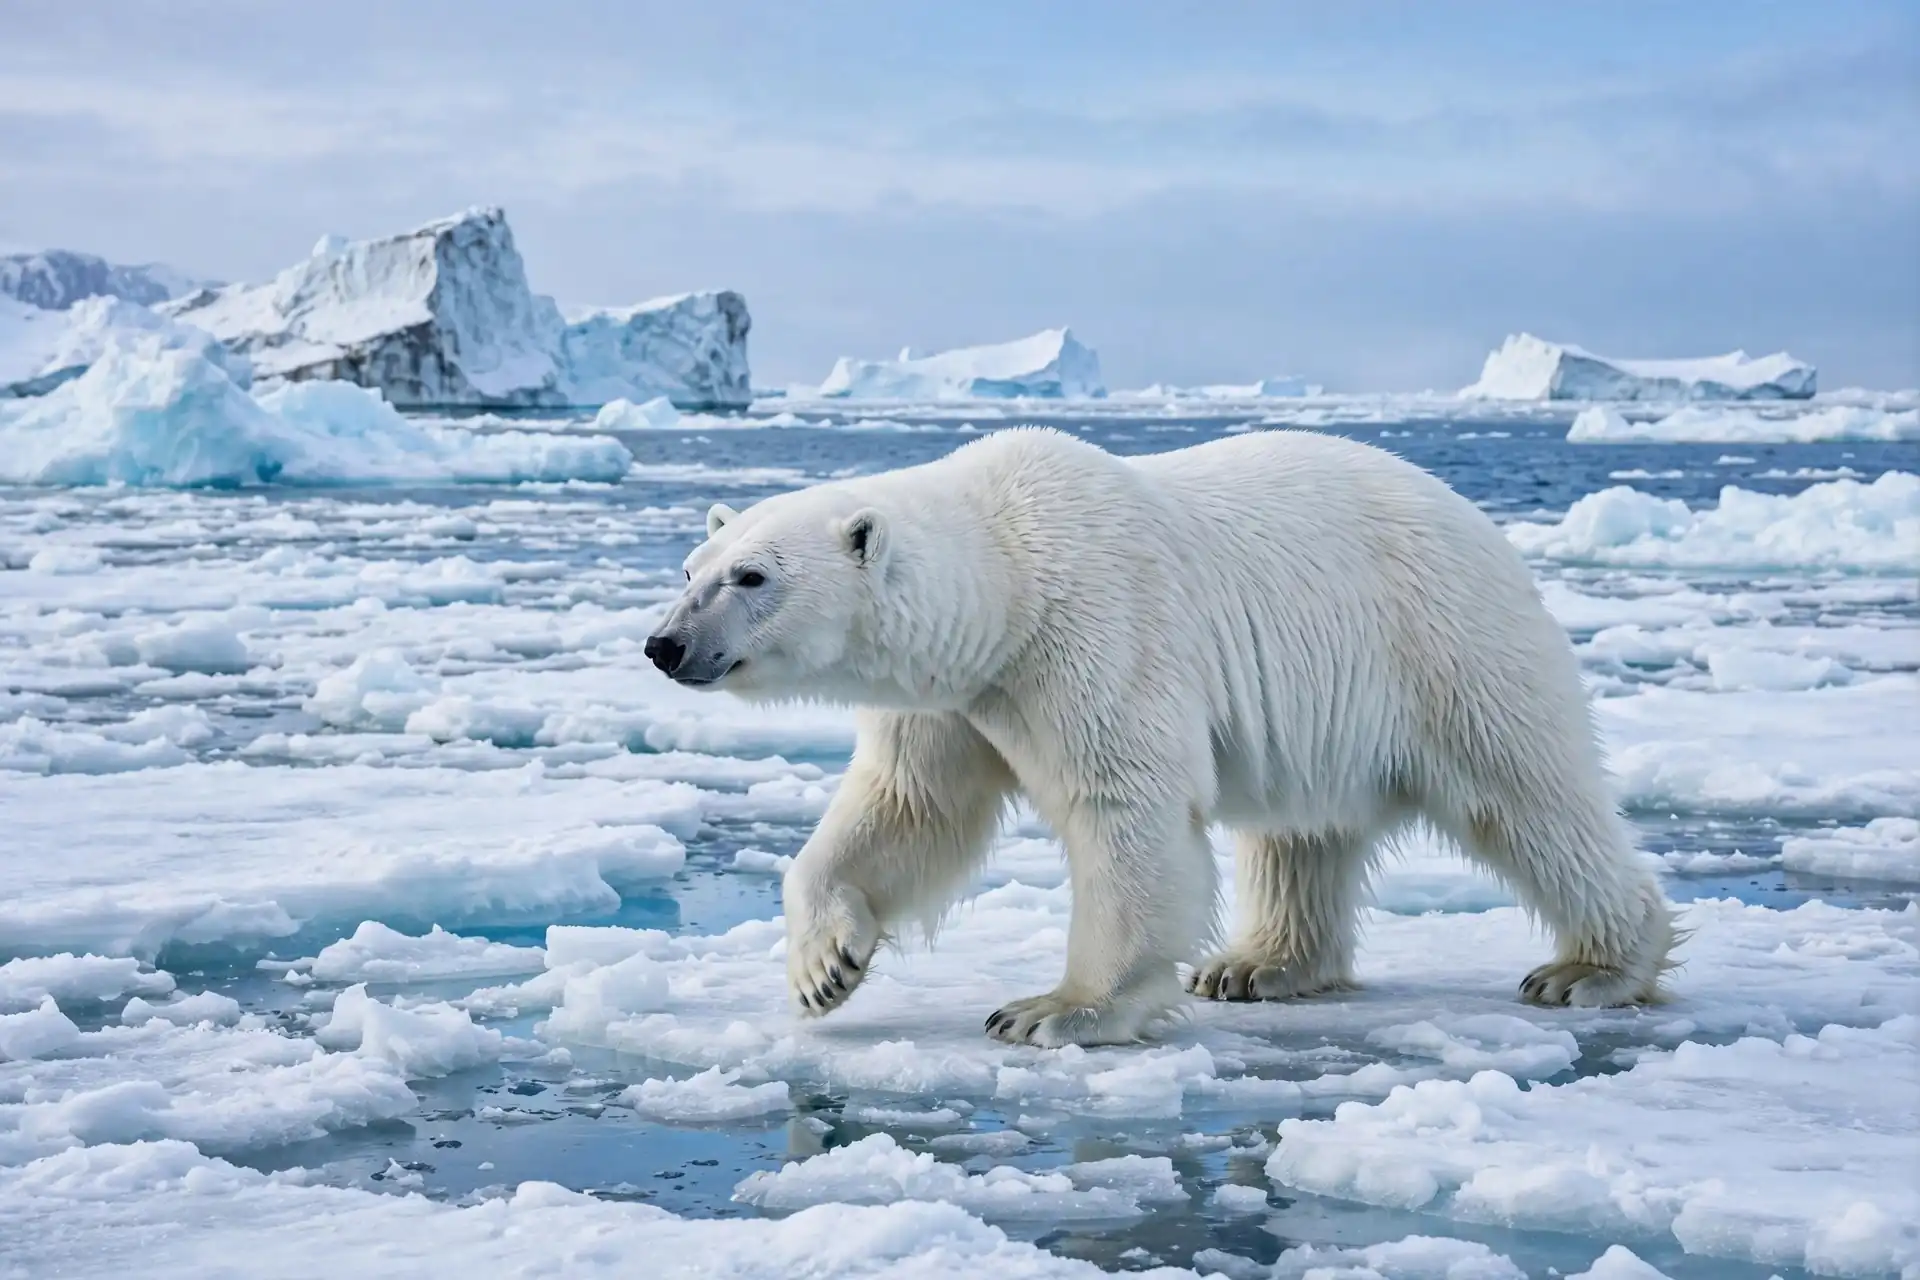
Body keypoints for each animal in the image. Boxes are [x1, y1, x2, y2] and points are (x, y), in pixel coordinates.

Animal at [644, 426, 1678, 1048]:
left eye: (751, 576)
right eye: (692, 565)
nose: (665, 645)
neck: (1009, 573)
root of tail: (1485, 526)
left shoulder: (1093, 630)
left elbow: (1124, 807)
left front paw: (1055, 1010)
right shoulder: (959, 693)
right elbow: (909, 808)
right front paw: (824, 969)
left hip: (1446, 643)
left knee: (1526, 795)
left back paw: (1593, 970)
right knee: (1303, 831)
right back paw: (1260, 966)